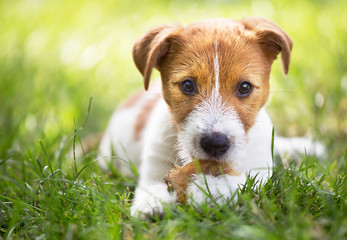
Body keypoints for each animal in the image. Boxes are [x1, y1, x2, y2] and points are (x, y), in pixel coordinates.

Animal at [99, 17, 320, 218]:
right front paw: (152, 205)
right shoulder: (154, 168)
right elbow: (152, 188)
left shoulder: (259, 170)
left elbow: (237, 182)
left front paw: (205, 191)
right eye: (188, 85)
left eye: (245, 87)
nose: (215, 143)